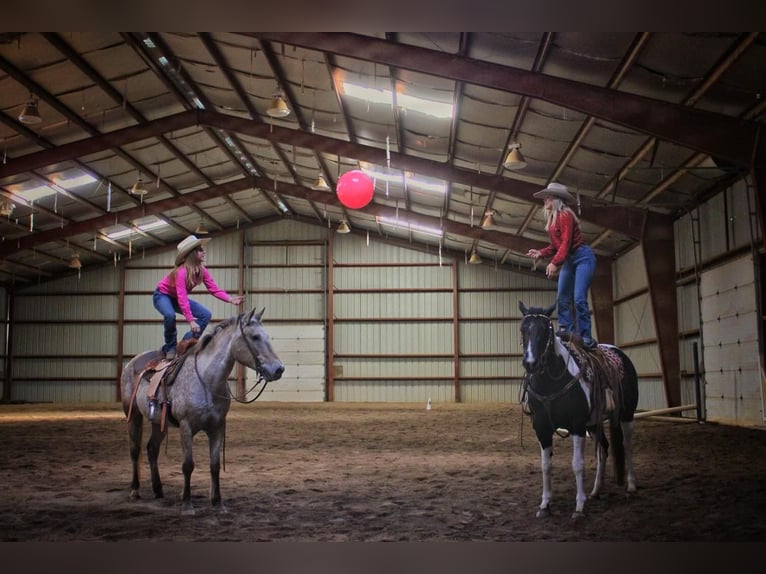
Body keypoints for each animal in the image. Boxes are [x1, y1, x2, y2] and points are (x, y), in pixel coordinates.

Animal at [121, 310, 284, 516]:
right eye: (255, 337)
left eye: (267, 337)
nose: (278, 369)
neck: (206, 380)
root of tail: (131, 363)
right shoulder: (186, 427)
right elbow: (188, 465)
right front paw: (187, 505)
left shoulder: (217, 427)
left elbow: (215, 465)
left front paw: (218, 503)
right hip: (133, 414)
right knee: (135, 450)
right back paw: (135, 490)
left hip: (159, 422)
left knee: (152, 449)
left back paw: (158, 490)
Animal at [520, 304, 640, 520]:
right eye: (523, 329)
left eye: (545, 330)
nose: (530, 363)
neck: (551, 382)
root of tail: (620, 353)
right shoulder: (541, 428)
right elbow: (545, 466)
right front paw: (545, 505)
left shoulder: (576, 425)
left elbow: (577, 464)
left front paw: (579, 506)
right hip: (593, 424)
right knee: (603, 449)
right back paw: (595, 491)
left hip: (627, 415)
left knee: (627, 445)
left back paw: (631, 487)